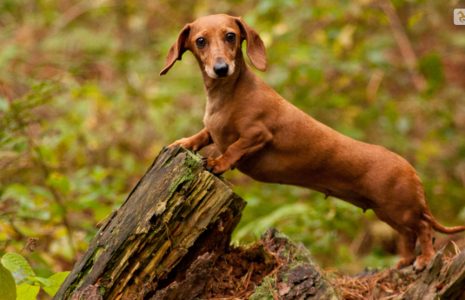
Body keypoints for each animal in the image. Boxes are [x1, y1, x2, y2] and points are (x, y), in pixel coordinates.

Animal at [160, 14, 464, 270]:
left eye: (230, 35)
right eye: (200, 40)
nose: (221, 68)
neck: (227, 95)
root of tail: (412, 171)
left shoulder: (257, 134)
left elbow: (233, 148)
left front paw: (218, 163)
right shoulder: (213, 130)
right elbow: (203, 135)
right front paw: (182, 143)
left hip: (400, 209)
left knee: (424, 229)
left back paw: (424, 259)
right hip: (388, 213)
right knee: (410, 234)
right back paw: (405, 261)